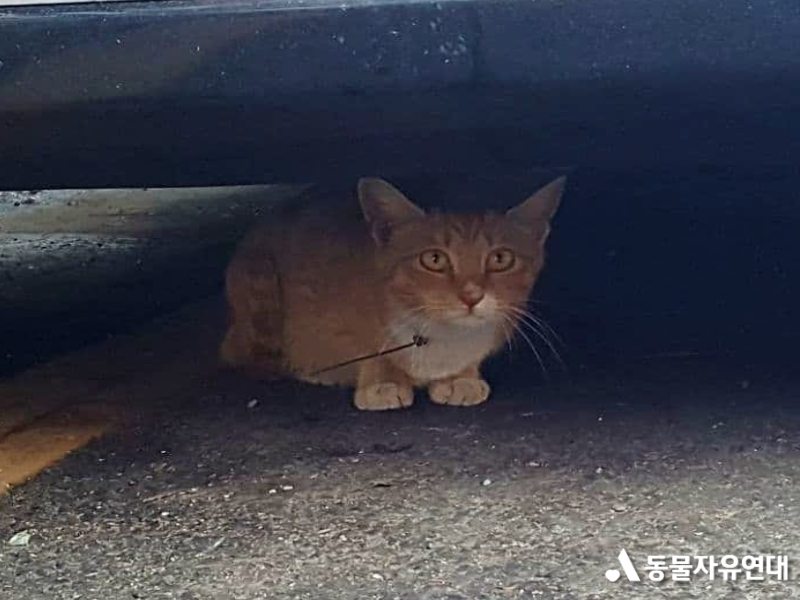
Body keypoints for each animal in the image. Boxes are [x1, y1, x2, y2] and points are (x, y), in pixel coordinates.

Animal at [222, 178, 564, 410]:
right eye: (434, 259)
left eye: (500, 258)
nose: (471, 295)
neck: (443, 336)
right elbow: (367, 349)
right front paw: (383, 381)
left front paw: (461, 377)